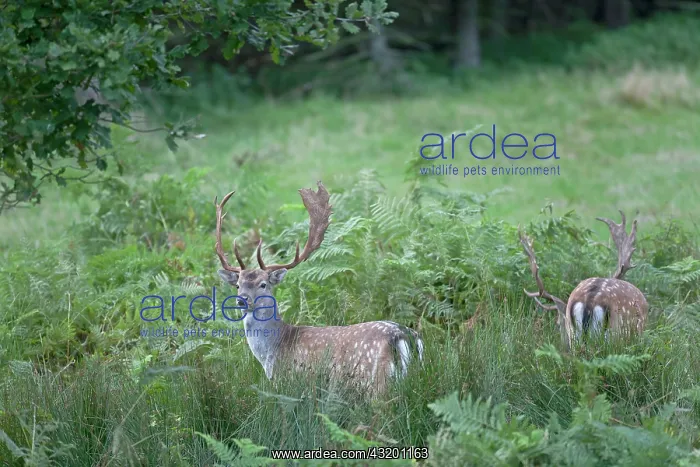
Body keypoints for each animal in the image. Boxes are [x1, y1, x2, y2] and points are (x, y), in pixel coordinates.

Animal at [213, 181, 424, 393]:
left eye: (263, 284)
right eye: (238, 284)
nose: (241, 300)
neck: (273, 352)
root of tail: (403, 336)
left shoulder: (290, 382)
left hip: (376, 380)